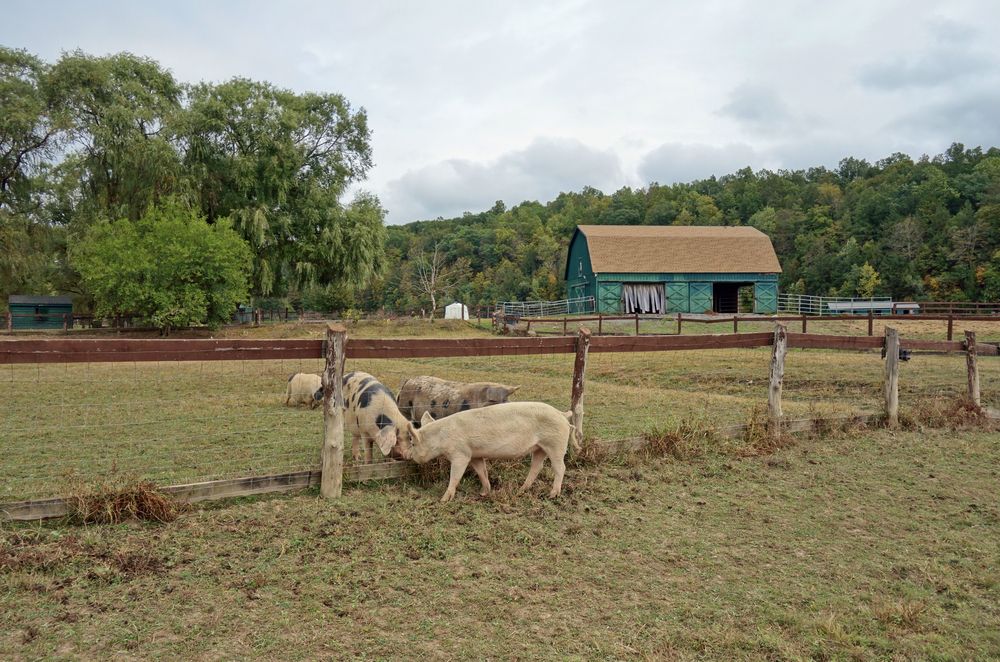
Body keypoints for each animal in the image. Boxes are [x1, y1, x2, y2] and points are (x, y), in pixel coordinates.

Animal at [401, 401, 581, 503]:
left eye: (412, 442)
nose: (406, 456)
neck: (442, 438)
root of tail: (562, 415)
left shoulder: (461, 454)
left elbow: (455, 476)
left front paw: (443, 500)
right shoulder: (475, 455)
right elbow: (482, 471)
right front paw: (484, 493)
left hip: (555, 444)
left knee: (560, 468)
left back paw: (553, 495)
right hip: (540, 448)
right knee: (537, 467)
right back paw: (521, 490)